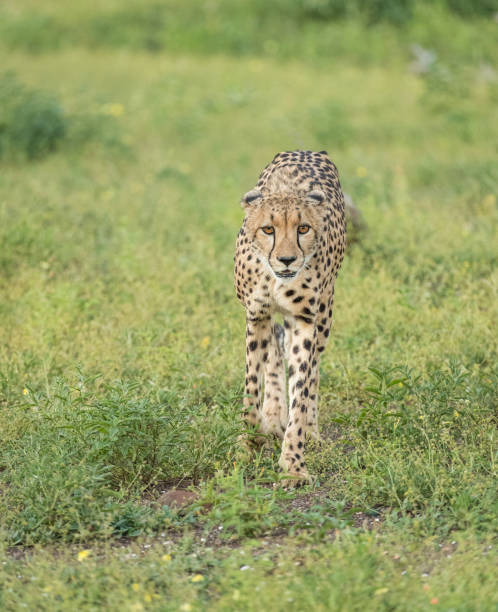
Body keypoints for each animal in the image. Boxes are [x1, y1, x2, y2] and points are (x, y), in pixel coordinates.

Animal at [234, 151, 346, 486]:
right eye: (268, 229)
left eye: (304, 229)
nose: (286, 259)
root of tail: (311, 151)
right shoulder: (256, 315)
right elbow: (251, 385)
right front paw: (249, 442)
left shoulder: (304, 320)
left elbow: (302, 387)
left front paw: (294, 464)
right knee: (273, 357)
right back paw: (272, 418)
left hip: (325, 313)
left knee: (313, 371)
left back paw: (310, 431)